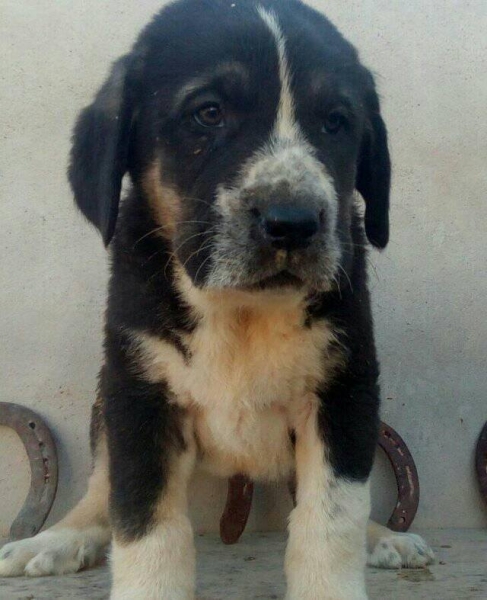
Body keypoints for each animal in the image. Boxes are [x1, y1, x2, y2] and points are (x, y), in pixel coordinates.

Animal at [0, 1, 434, 600]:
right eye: (208, 113)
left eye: (335, 122)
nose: (293, 223)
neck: (240, 311)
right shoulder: (138, 394)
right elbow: (145, 523)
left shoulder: (344, 391)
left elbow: (331, 518)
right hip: (105, 396)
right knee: (103, 489)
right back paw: (57, 539)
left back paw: (383, 537)